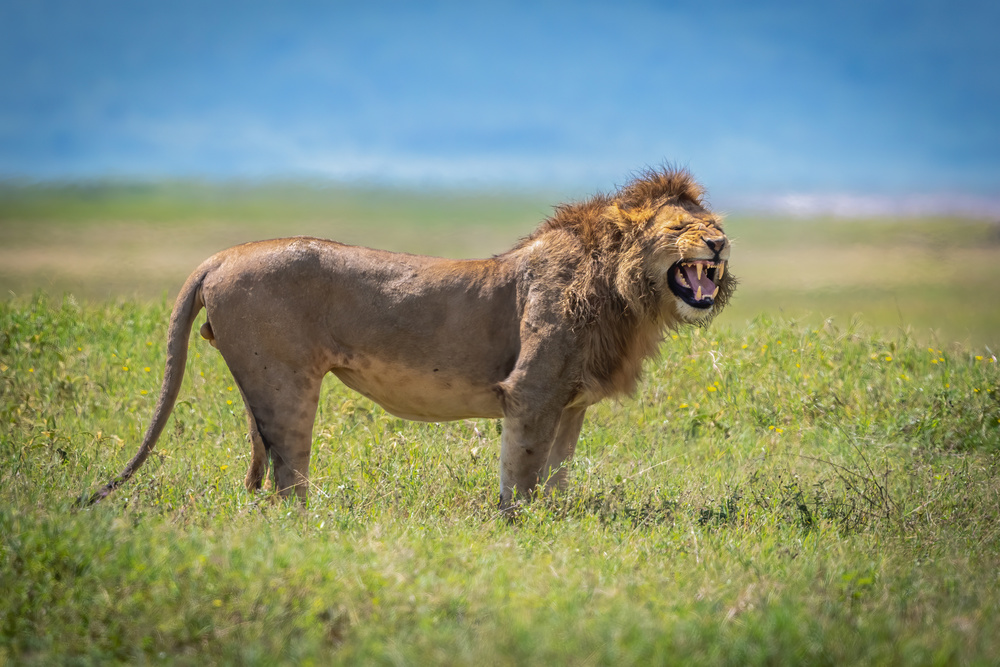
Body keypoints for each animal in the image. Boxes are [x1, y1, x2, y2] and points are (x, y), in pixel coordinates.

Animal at [84, 168, 736, 512]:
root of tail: (220, 256)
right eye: (680, 227)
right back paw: (308, 526)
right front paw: (518, 529)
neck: (626, 297)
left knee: (262, 466)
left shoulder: (570, 403)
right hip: (286, 382)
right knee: (289, 471)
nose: (720, 244)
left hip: (260, 384)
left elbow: (557, 473)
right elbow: (523, 472)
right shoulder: (531, 393)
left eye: (715, 224)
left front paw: (557, 523)